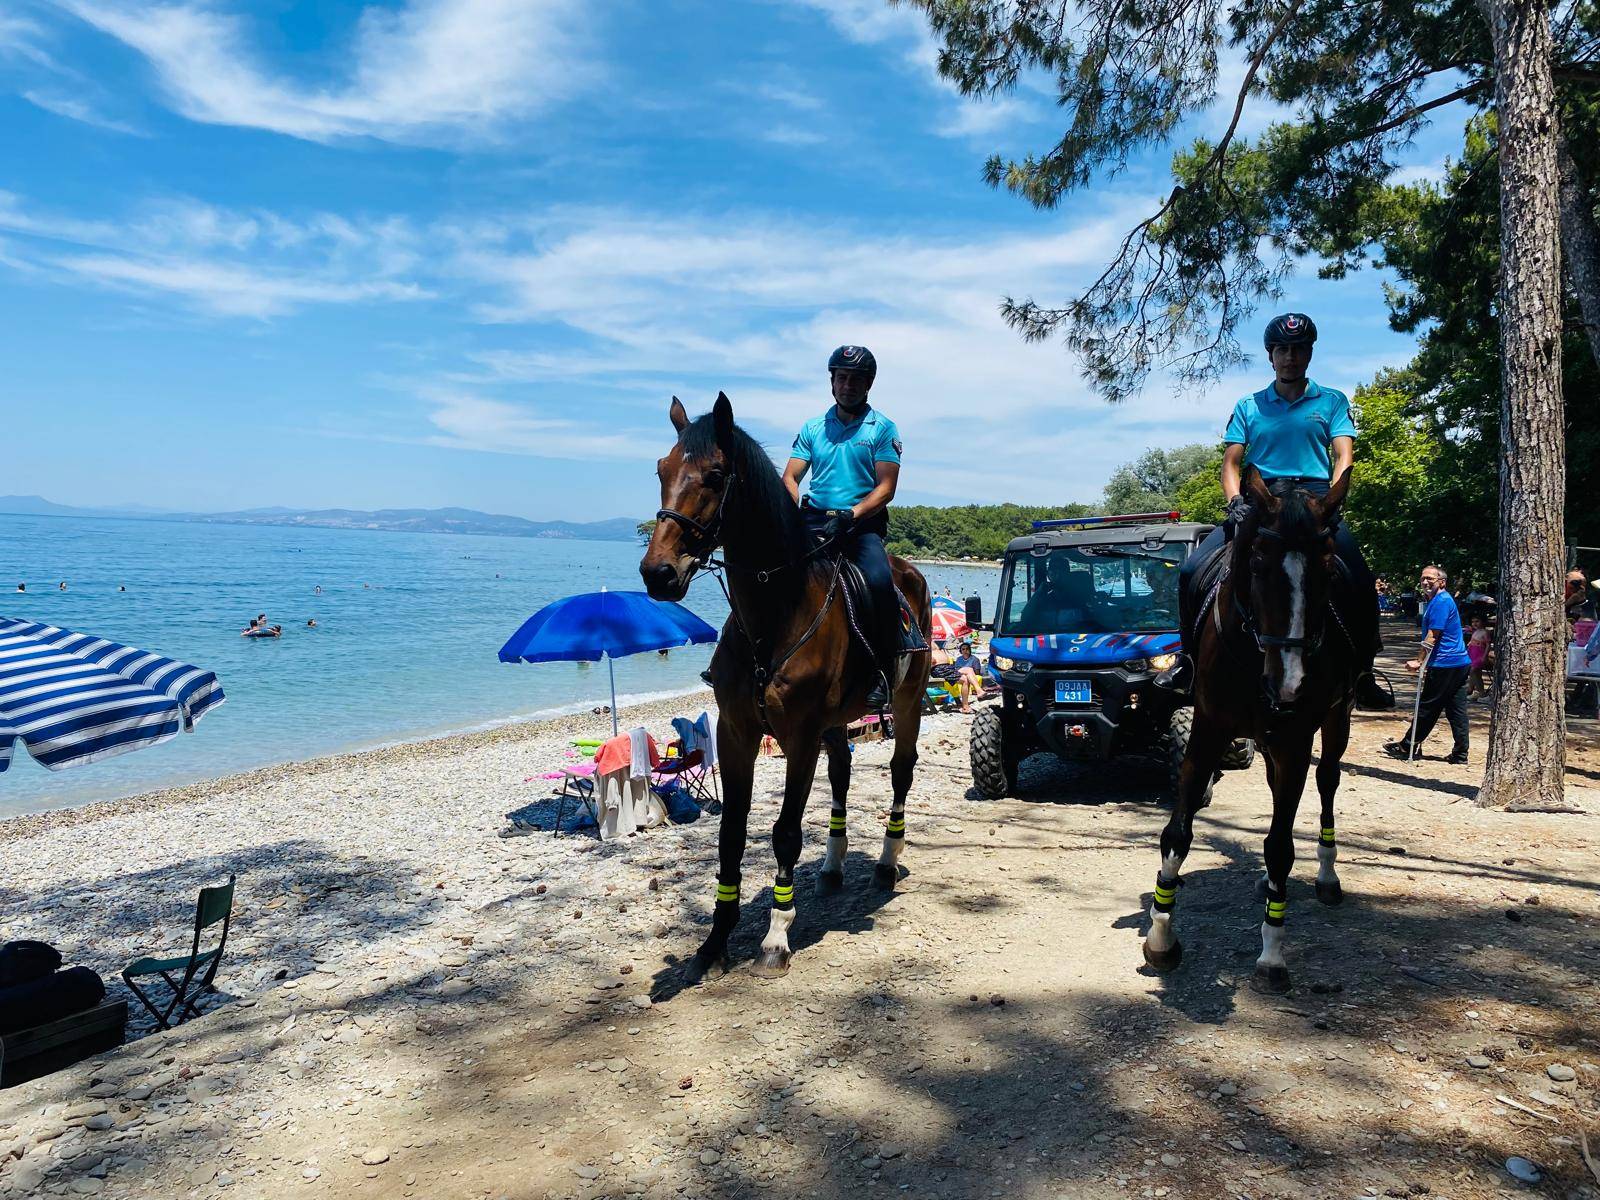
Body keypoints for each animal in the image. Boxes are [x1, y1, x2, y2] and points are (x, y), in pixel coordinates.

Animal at [640, 400, 934, 979]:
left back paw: (886, 864)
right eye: (662, 470)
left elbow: (785, 833)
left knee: (900, 772)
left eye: (715, 475)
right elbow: (732, 834)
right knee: (842, 772)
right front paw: (714, 942)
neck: (775, 616)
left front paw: (776, 935)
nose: (658, 573)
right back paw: (834, 866)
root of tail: (911, 574)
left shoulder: (798, 737)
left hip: (908, 701)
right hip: (837, 723)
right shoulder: (737, 733)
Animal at [1145, 470, 1356, 998]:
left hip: (1336, 721)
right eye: (1257, 563)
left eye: (1327, 571)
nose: (1290, 683)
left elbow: (1281, 847)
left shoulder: (1295, 743)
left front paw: (1272, 954)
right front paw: (1161, 937)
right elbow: (1177, 833)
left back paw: (1326, 876)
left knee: (1326, 783)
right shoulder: (1207, 729)